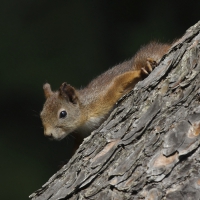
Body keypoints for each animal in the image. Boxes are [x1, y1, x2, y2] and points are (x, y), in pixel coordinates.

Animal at [40, 41, 170, 147]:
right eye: (42, 115)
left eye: (63, 114)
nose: (48, 134)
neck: (85, 114)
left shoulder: (102, 96)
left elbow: (119, 81)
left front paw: (139, 72)